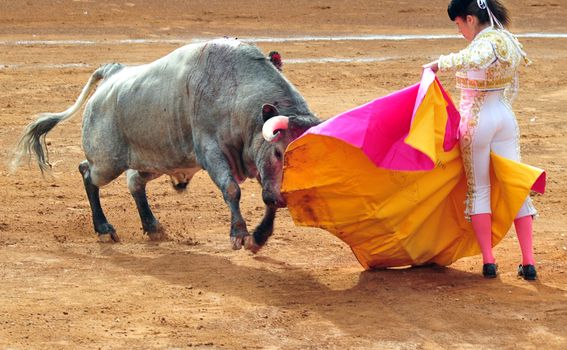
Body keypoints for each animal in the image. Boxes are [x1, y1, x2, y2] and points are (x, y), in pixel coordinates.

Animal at [12, 38, 320, 252]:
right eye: (279, 152)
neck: (236, 90)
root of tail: (113, 72)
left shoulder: (257, 164)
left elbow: (268, 200)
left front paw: (258, 237)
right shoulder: (212, 152)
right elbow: (232, 189)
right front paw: (239, 234)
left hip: (154, 161)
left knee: (135, 183)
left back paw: (152, 226)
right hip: (107, 162)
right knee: (87, 172)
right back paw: (103, 228)